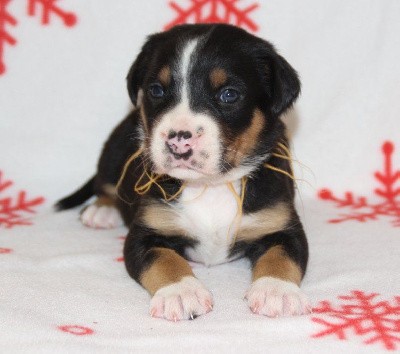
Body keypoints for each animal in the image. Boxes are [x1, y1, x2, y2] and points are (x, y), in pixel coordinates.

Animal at [56, 22, 310, 320]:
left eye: (229, 94)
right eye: (156, 90)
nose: (178, 139)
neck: (210, 186)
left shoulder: (282, 225)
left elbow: (281, 256)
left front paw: (276, 290)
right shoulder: (146, 232)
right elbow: (165, 260)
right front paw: (181, 292)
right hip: (113, 151)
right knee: (105, 184)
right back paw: (102, 210)